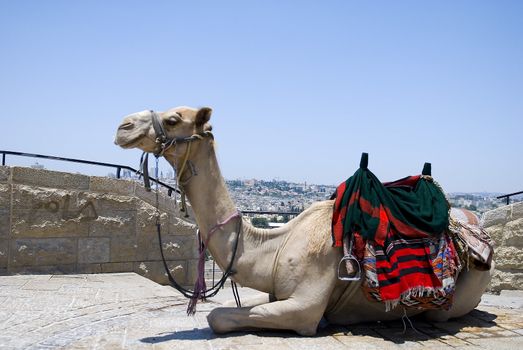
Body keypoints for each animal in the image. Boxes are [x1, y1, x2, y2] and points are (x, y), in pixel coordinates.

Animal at [114, 106, 496, 336]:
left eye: (174, 118)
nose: (123, 126)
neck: (275, 244)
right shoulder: (276, 293)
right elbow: (233, 309)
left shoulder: (305, 307)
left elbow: (218, 316)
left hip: (458, 297)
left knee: (441, 313)